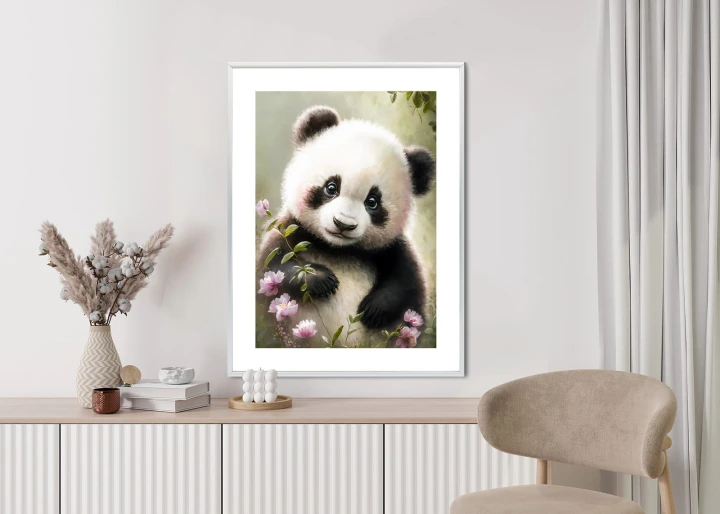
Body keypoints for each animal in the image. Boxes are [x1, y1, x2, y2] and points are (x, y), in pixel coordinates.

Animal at [257, 105, 435, 347]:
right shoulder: (291, 231)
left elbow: (406, 284)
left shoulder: (391, 249)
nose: (343, 224)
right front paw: (322, 280)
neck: (338, 249)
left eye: (373, 202)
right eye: (331, 187)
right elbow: (273, 268)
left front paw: (374, 308)